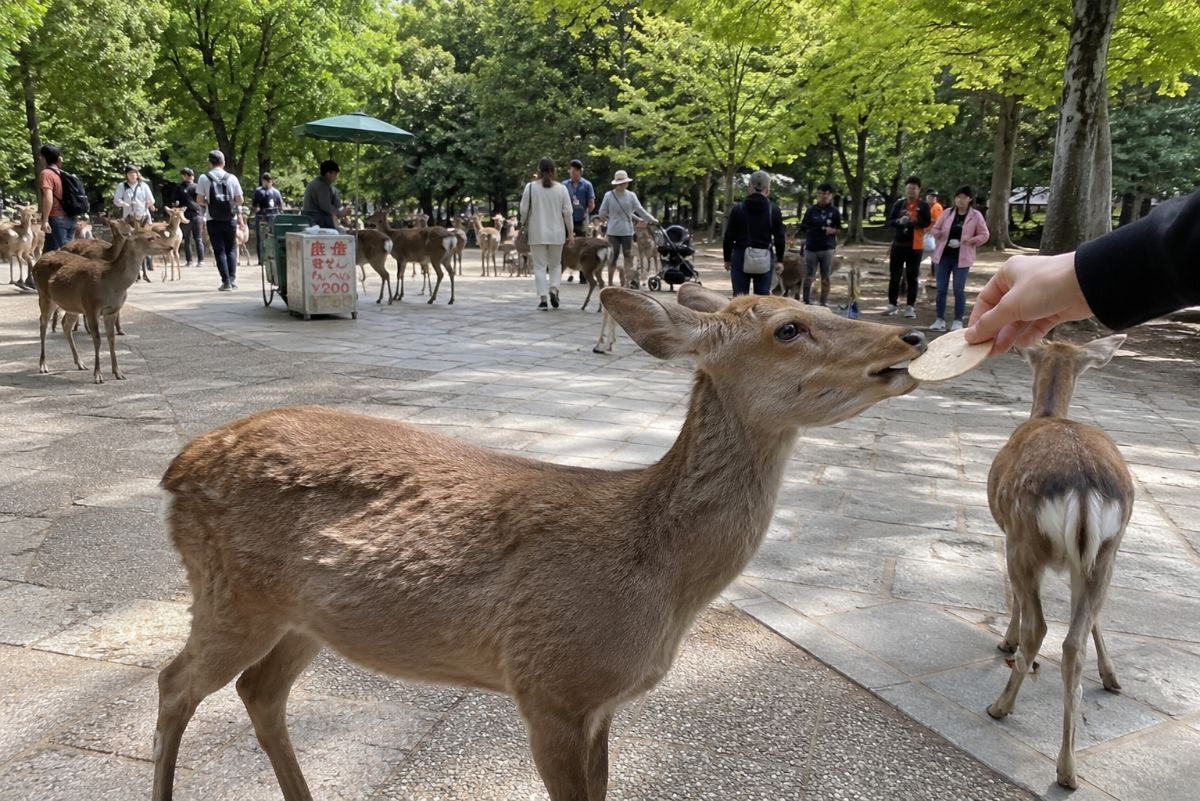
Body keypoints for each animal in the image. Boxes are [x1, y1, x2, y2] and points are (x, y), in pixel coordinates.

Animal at [32, 221, 159, 383]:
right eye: (150, 238)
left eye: (156, 235)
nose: (170, 246)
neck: (112, 283)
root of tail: (37, 263)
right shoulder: (91, 306)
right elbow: (97, 339)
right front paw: (98, 375)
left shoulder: (112, 310)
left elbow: (111, 338)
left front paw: (118, 373)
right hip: (44, 295)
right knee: (42, 323)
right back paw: (43, 365)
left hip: (72, 304)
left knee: (66, 324)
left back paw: (80, 363)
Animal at [151, 283, 927, 801]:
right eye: (789, 328)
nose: (911, 336)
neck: (661, 581)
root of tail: (175, 467)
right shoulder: (550, 684)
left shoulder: (601, 702)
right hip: (230, 592)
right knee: (174, 683)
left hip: (303, 618)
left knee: (258, 690)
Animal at [984, 335, 1133, 791]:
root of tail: (1083, 489)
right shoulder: (1085, 561)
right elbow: (1093, 621)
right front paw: (1112, 675)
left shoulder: (1009, 536)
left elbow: (1016, 600)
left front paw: (1007, 641)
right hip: (1107, 550)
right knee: (1073, 643)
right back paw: (1068, 767)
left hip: (1023, 538)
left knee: (1041, 626)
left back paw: (1002, 704)